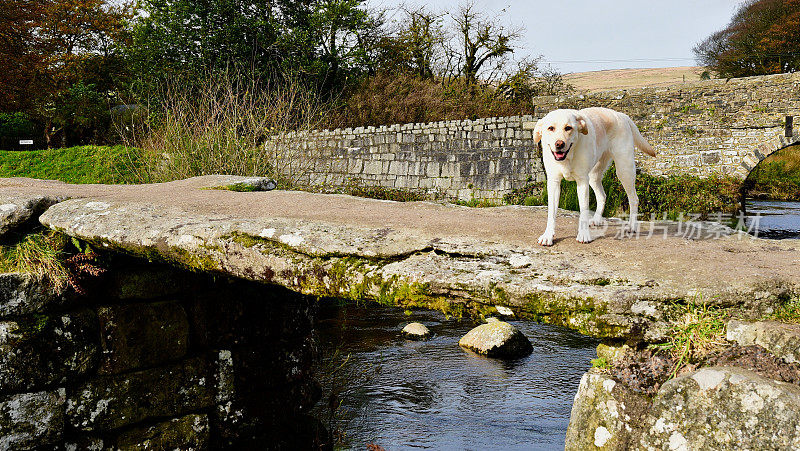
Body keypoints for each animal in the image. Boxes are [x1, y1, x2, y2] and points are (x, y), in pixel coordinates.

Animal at [532, 107, 656, 247]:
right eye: (550, 128)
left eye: (568, 128)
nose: (559, 144)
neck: (568, 157)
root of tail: (620, 114)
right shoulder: (554, 182)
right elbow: (551, 213)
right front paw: (548, 236)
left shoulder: (582, 182)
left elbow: (584, 211)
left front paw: (584, 235)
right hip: (594, 175)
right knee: (602, 195)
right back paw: (597, 219)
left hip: (624, 170)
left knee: (634, 199)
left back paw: (632, 226)